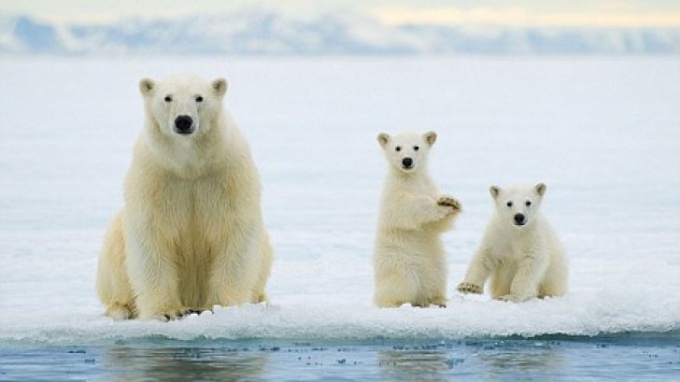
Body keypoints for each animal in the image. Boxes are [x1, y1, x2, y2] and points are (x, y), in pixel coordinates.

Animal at [97, 74, 272, 320]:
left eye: (199, 97)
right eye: (167, 98)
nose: (183, 121)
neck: (189, 166)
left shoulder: (226, 176)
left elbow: (234, 233)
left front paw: (219, 307)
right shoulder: (155, 178)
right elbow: (151, 236)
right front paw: (169, 311)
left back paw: (260, 300)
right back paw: (121, 308)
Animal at [372, 131, 462, 308]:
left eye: (416, 147)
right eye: (397, 147)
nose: (407, 160)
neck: (411, 177)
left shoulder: (428, 185)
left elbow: (437, 226)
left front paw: (450, 201)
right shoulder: (393, 192)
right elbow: (404, 207)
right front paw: (438, 206)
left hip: (436, 262)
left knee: (437, 278)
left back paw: (438, 300)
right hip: (399, 262)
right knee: (403, 283)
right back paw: (398, 303)